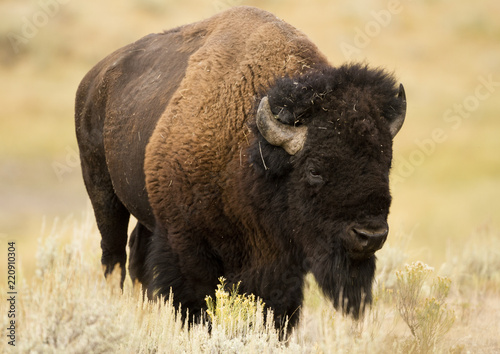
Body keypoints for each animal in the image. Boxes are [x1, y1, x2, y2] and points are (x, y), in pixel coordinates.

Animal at [75, 6, 406, 330]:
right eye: (315, 170)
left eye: (386, 163)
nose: (370, 235)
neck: (251, 149)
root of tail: (93, 81)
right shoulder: (186, 246)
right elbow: (196, 304)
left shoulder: (279, 262)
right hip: (102, 191)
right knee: (113, 255)